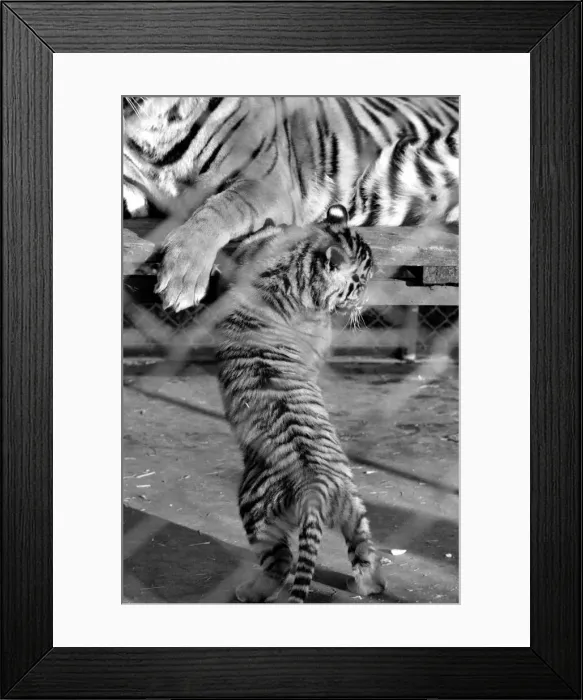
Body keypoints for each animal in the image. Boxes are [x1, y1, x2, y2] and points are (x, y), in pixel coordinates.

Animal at [215, 204, 386, 603]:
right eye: (363, 281)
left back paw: (249, 591)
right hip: (354, 508)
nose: (365, 304)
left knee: (279, 564)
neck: (296, 266)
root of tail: (315, 490)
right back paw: (368, 584)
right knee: (363, 549)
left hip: (255, 509)